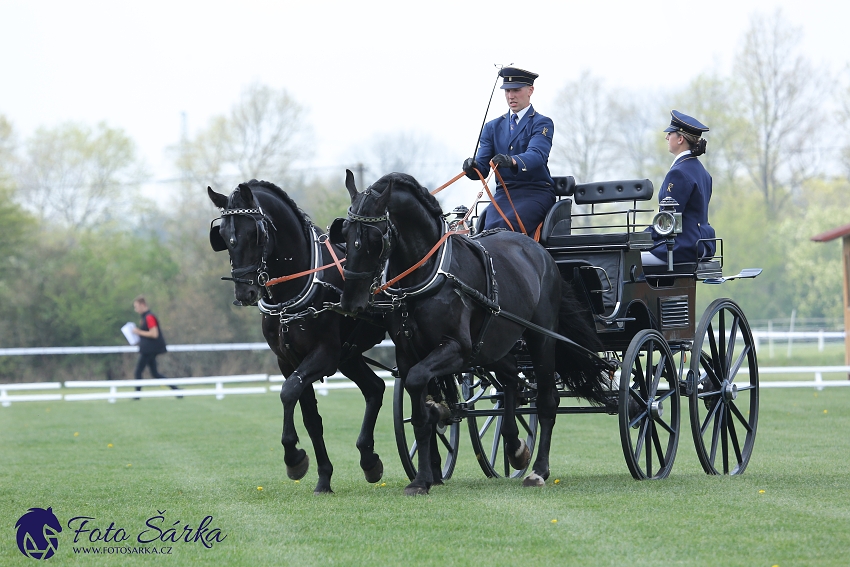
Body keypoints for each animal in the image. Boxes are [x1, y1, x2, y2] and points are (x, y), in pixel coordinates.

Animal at [207, 181, 386, 492]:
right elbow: (310, 417)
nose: (245, 292)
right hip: (349, 355)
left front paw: (293, 457)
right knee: (375, 389)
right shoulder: (288, 359)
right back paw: (369, 460)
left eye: (255, 233)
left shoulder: (324, 355)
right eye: (224, 238)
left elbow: (288, 391)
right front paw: (323, 476)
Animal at [332, 171, 608, 494]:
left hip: (541, 339)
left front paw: (425, 472)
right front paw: (424, 477)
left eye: (376, 238)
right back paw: (514, 447)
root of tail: (540, 252)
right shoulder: (407, 354)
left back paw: (538, 470)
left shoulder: (457, 349)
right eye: (344, 232)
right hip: (496, 344)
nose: (350, 302)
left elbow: (419, 389)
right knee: (510, 381)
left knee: (546, 400)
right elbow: (421, 413)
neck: (431, 273)